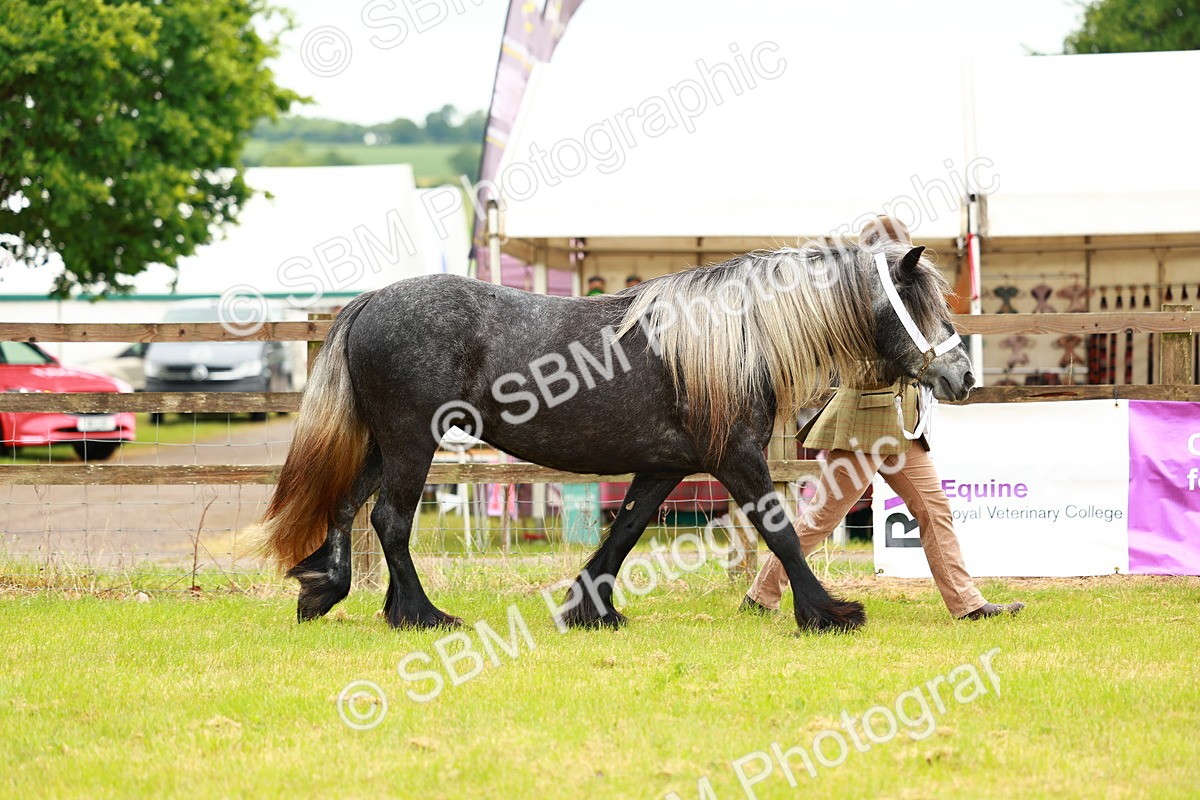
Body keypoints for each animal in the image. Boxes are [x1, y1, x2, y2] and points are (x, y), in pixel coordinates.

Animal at [250, 227, 973, 633]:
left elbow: (623, 532)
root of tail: (372, 299)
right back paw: (420, 615)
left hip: (387, 444)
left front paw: (589, 609)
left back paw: (327, 592)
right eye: (919, 305)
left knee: (349, 507)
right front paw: (830, 613)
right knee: (391, 521)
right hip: (412, 443)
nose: (962, 375)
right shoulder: (737, 459)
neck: (737, 335)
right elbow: (782, 533)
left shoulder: (665, 466)